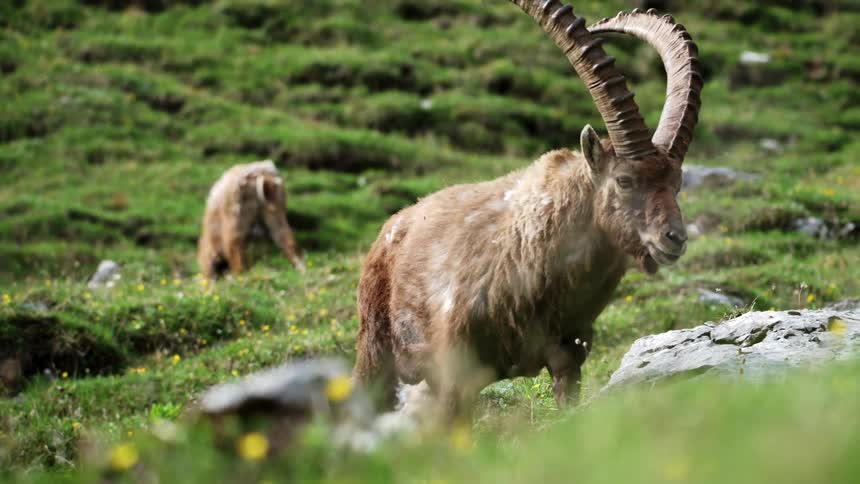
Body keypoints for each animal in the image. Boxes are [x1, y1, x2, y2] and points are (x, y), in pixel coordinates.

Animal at [354, 3, 703, 415]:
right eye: (624, 180)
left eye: (676, 183)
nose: (674, 238)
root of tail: (394, 226)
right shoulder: (454, 370)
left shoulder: (568, 356)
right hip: (377, 350)